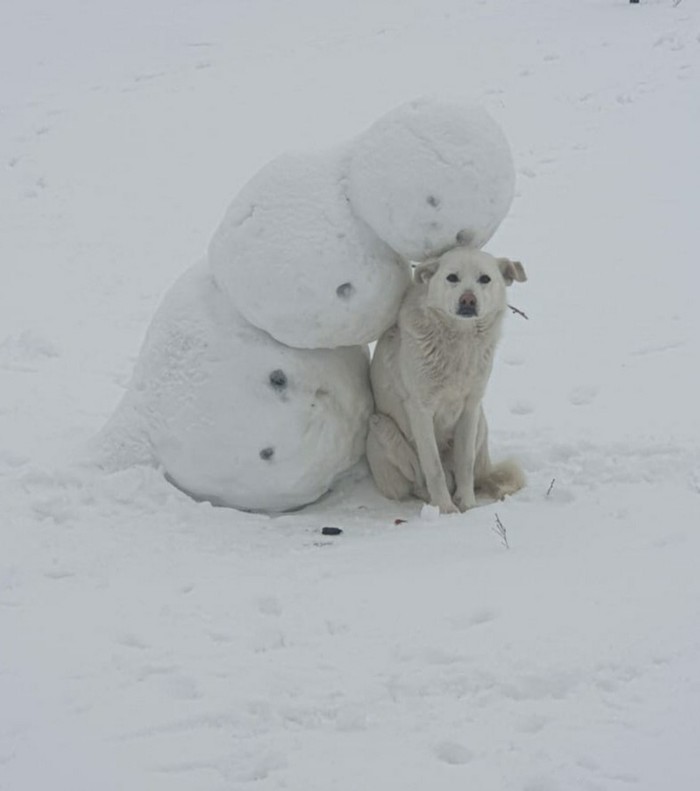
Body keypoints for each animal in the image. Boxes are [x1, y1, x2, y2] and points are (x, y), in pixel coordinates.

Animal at [366, 235, 524, 516]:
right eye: (452, 277)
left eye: (485, 279)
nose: (468, 300)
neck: (459, 341)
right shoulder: (421, 410)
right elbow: (433, 467)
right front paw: (445, 510)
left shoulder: (471, 407)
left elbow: (464, 463)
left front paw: (468, 505)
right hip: (380, 427)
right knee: (417, 478)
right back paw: (429, 499)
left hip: (481, 422)